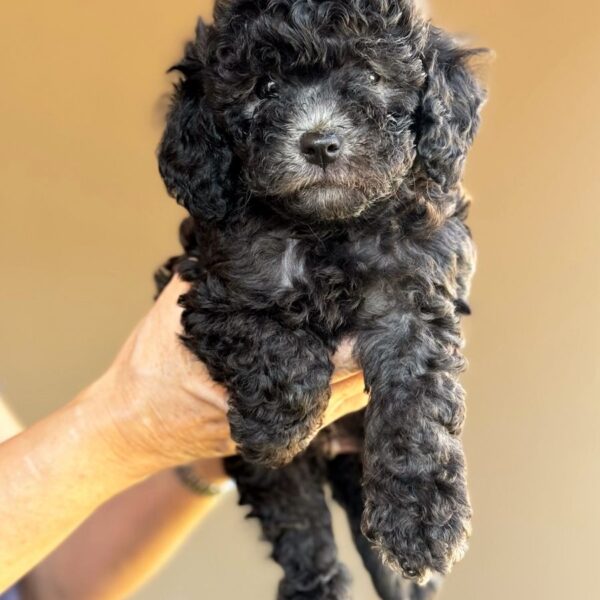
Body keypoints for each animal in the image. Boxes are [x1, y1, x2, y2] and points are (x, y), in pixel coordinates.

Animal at [157, 0, 486, 596]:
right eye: (264, 87)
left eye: (372, 77)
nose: (320, 143)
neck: (329, 228)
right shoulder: (216, 284)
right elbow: (269, 340)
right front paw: (276, 427)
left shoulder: (414, 293)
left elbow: (417, 407)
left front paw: (424, 524)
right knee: (297, 515)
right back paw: (318, 580)